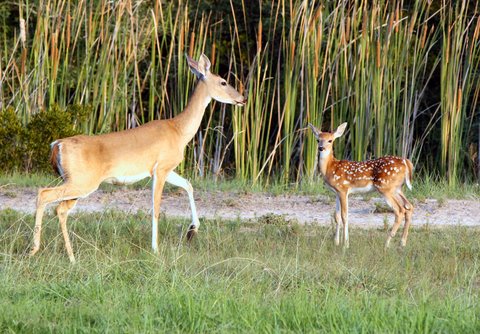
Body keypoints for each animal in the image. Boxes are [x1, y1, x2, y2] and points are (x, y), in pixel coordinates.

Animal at [31, 53, 244, 262]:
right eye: (223, 82)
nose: (242, 98)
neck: (179, 131)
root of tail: (57, 145)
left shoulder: (164, 169)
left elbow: (188, 185)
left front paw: (192, 231)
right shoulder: (161, 168)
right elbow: (156, 208)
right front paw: (156, 249)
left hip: (76, 183)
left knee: (60, 209)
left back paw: (71, 257)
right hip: (82, 181)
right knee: (44, 194)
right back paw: (34, 249)